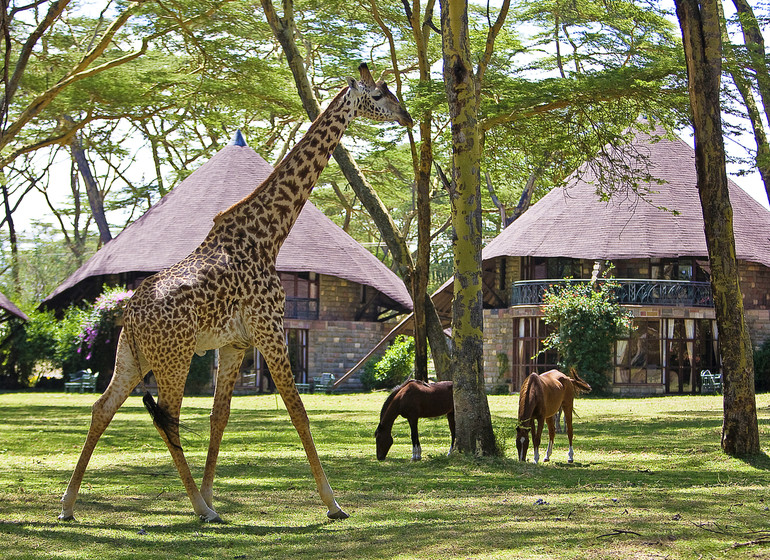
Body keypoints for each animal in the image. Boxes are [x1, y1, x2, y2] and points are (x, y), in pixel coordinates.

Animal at [58, 63, 414, 524]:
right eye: (381, 93)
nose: (407, 117)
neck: (269, 236)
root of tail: (130, 314)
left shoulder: (235, 343)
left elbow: (219, 417)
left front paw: (212, 493)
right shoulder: (269, 329)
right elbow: (298, 411)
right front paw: (333, 503)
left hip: (131, 356)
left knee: (103, 408)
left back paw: (69, 504)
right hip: (174, 359)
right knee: (167, 418)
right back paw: (198, 508)